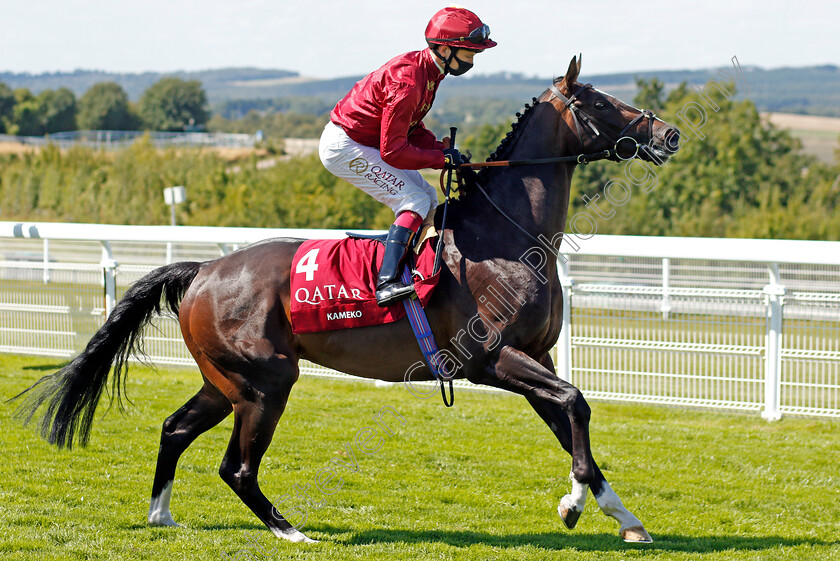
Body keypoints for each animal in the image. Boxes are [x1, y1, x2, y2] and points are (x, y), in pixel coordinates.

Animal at [13, 57, 680, 544]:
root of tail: (204, 269)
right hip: (266, 381)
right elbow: (574, 404)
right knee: (237, 467)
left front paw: (613, 514)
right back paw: (290, 531)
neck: (508, 236)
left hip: (225, 380)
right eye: (598, 102)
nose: (667, 132)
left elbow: (571, 419)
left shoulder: (534, 358)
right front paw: (582, 504)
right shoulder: (491, 359)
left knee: (176, 429)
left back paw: (161, 514)